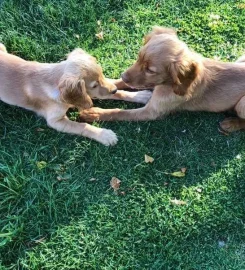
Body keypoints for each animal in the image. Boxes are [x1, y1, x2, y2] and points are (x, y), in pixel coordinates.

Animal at [0, 44, 151, 146]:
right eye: (94, 85)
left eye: (102, 74)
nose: (113, 90)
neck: (53, 80)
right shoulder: (55, 121)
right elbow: (82, 126)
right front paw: (105, 135)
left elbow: (115, 87)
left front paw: (140, 95)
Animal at [81, 26, 245, 133]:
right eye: (138, 58)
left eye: (150, 70)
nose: (124, 76)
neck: (167, 84)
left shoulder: (152, 111)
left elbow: (120, 112)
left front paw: (93, 113)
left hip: (242, 103)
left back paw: (232, 123)